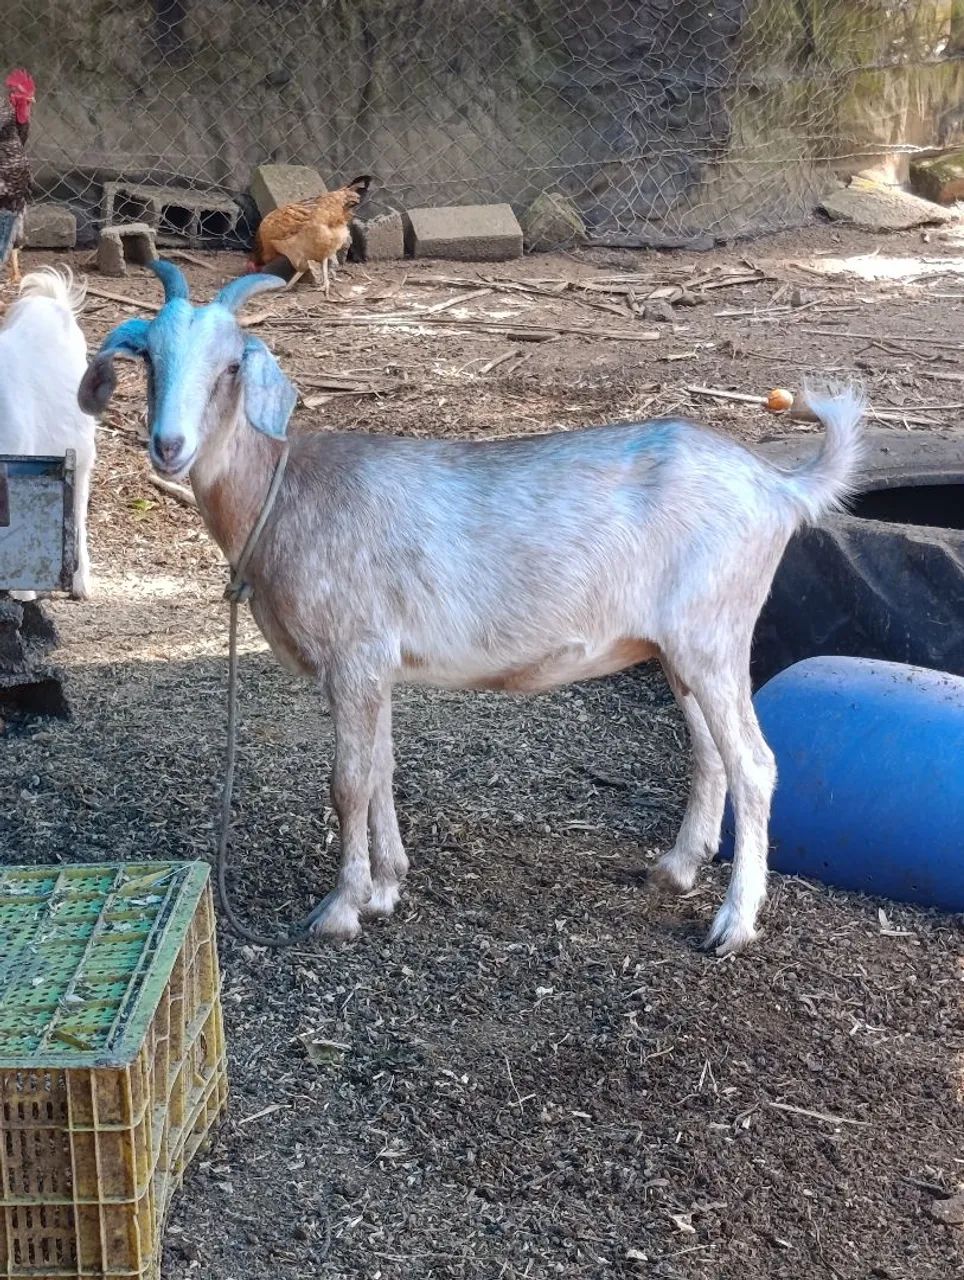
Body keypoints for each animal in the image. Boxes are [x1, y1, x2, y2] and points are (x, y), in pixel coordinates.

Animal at [79, 261, 865, 955]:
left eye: (232, 367)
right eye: (149, 358)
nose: (169, 446)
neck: (282, 493)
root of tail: (778, 486)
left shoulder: (354, 654)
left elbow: (347, 783)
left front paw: (340, 909)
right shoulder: (376, 666)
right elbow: (382, 767)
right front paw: (387, 887)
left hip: (713, 632)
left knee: (755, 763)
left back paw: (733, 924)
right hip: (679, 647)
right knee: (708, 750)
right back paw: (676, 869)